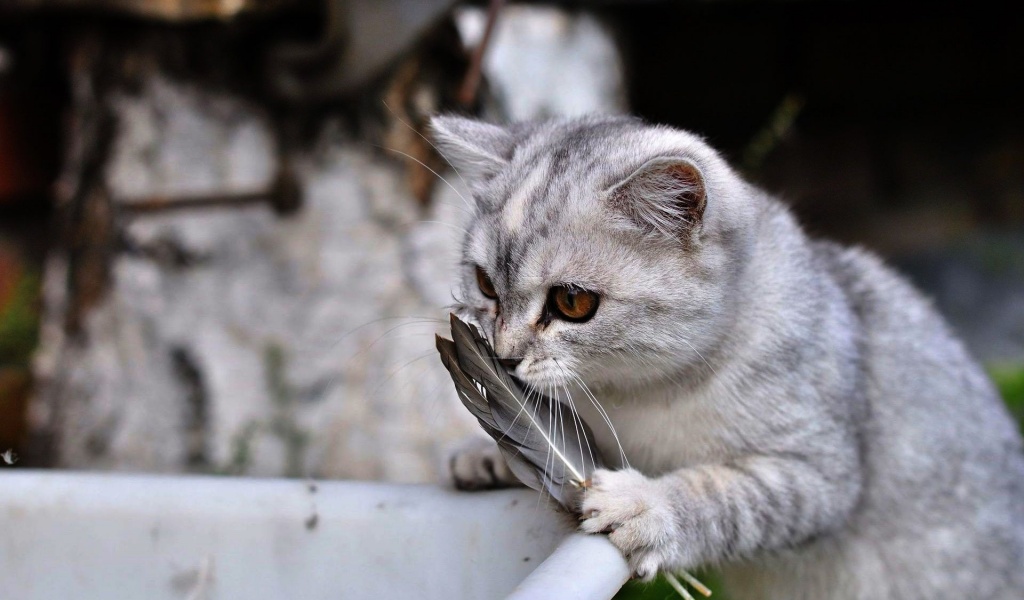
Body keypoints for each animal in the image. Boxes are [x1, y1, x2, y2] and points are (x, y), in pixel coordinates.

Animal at [430, 113, 1024, 597]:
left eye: (572, 302)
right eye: (485, 284)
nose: (503, 357)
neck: (636, 396)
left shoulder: (818, 472)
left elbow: (722, 494)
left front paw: (647, 507)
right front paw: (486, 452)